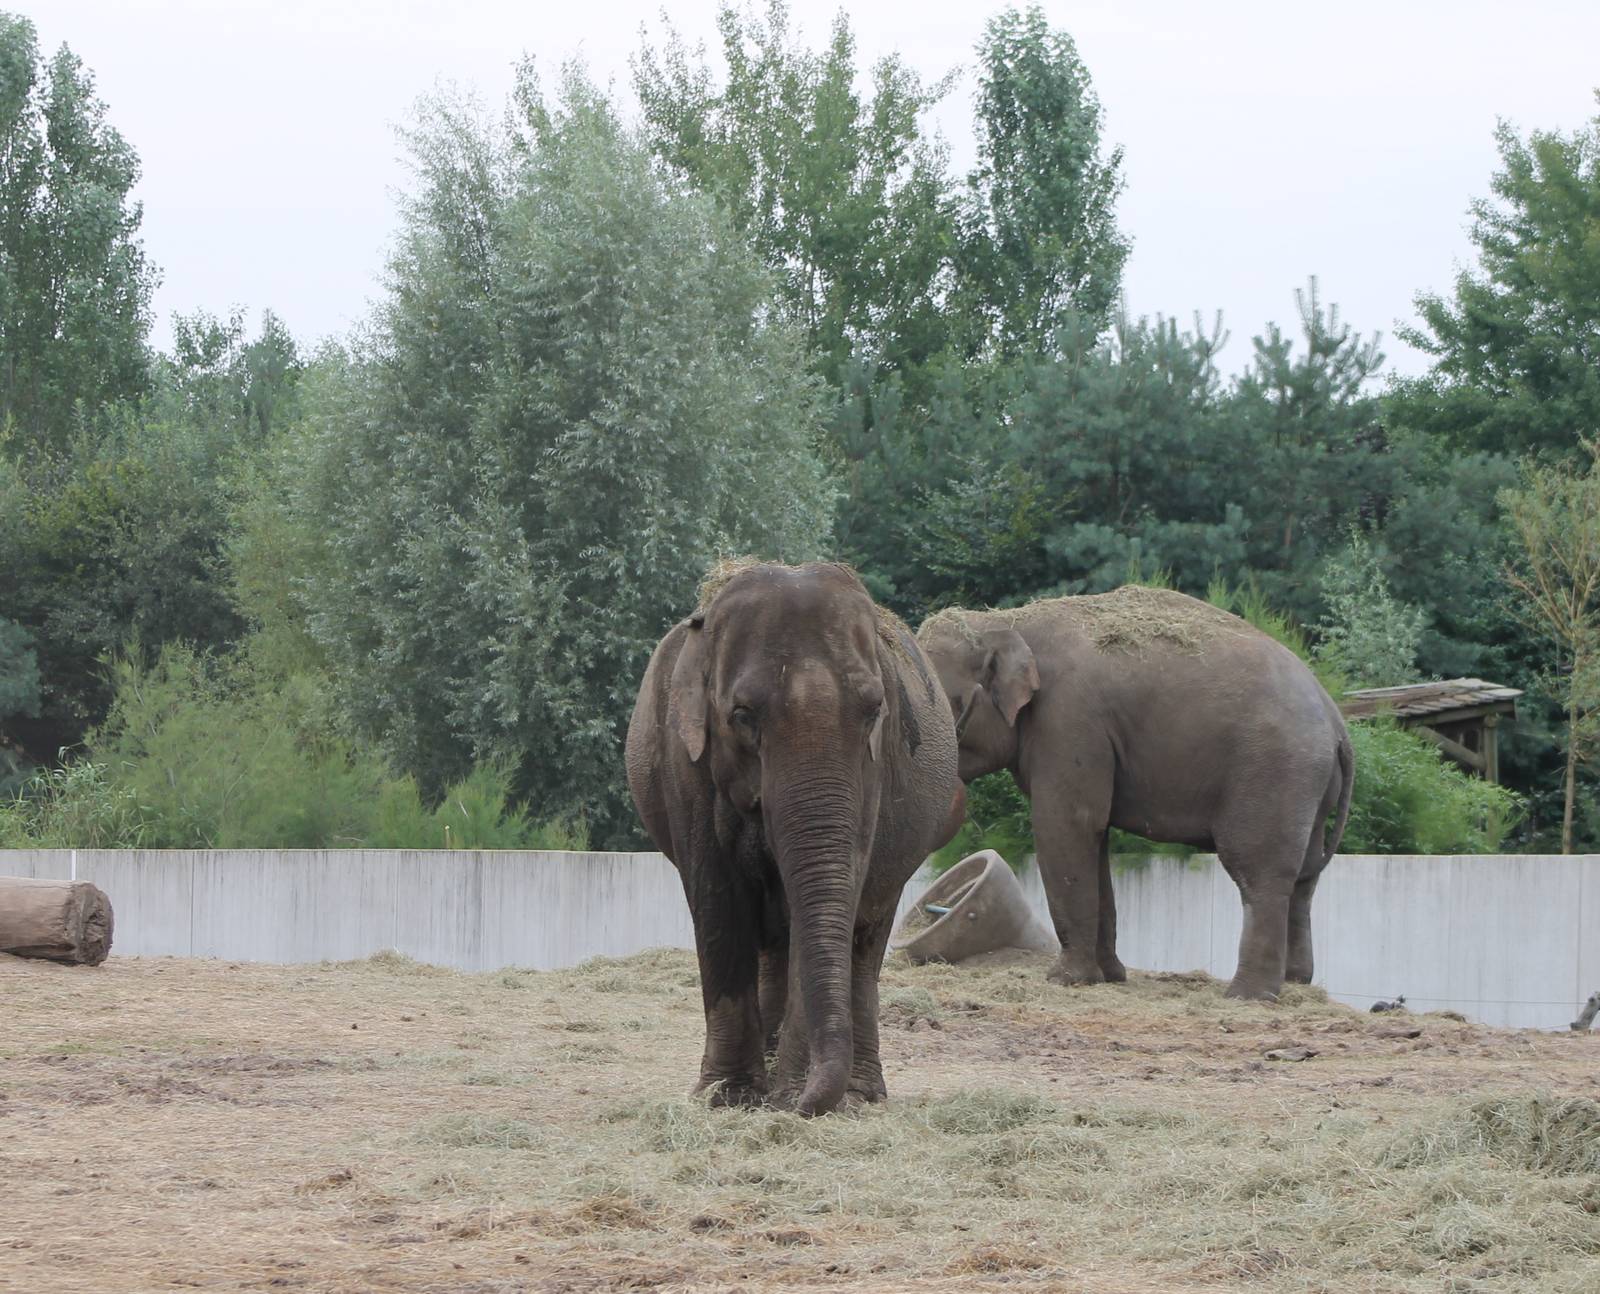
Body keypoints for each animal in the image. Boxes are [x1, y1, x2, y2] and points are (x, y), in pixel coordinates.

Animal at [626, 560, 965, 1115]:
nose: (803, 1104)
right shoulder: (684, 760)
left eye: (874, 711)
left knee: (863, 940)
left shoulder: (874, 768)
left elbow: (841, 891)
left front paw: (787, 1095)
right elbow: (717, 895)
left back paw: (859, 1094)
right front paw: (728, 1096)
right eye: (743, 716)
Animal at [917, 585, 1353, 1000]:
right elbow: (1096, 839)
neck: (1006, 619)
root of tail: (1337, 721)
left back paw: (1247, 996)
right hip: (1309, 783)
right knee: (1305, 876)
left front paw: (1066, 980)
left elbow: (1069, 825)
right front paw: (1108, 978)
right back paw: (1296, 985)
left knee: (1259, 869)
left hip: (1275, 768)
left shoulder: (1070, 718)